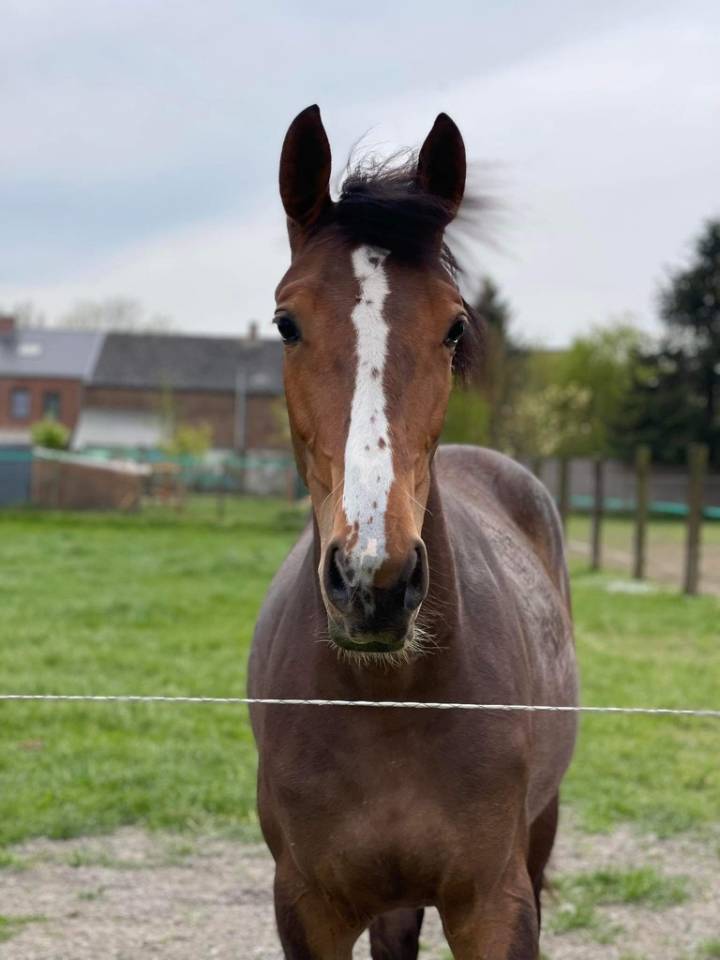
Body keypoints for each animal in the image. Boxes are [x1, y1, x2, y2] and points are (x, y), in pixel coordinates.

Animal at [248, 105, 578, 959]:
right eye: (286, 322)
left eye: (455, 327)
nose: (375, 581)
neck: (391, 701)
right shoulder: (306, 908)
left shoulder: (496, 905)